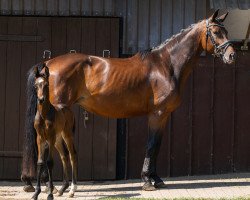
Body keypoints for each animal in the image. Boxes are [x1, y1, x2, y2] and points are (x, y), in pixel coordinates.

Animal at [32, 65, 77, 199]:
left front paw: (50, 194)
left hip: (67, 135)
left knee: (72, 155)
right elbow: (40, 162)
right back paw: (63, 189)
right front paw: (36, 193)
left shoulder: (50, 137)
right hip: (58, 139)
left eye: (46, 85)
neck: (44, 115)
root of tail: (67, 108)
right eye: (35, 85)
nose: (41, 99)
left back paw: (72, 190)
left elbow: (49, 162)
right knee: (64, 156)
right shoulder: (40, 138)